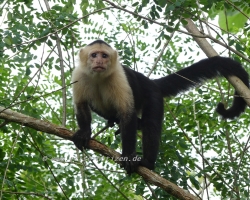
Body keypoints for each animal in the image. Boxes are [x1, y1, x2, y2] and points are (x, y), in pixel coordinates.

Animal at [71, 39, 249, 173]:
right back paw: (117, 120)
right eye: (94, 55)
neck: (99, 77)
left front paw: (128, 155)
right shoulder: (79, 74)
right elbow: (81, 105)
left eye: (104, 55)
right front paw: (84, 133)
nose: (99, 61)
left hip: (152, 94)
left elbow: (127, 113)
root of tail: (151, 82)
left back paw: (147, 162)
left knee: (151, 124)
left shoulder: (119, 76)